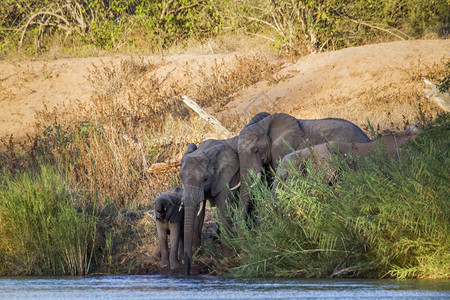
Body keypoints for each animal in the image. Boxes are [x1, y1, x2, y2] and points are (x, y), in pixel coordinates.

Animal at [179, 111, 270, 276]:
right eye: (180, 177)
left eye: (206, 178)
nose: (187, 272)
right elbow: (198, 212)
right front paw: (196, 255)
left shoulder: (228, 176)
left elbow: (224, 208)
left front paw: (227, 259)